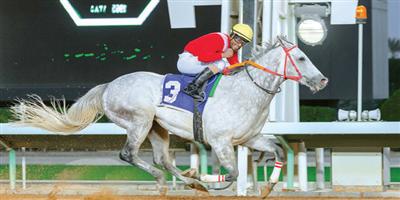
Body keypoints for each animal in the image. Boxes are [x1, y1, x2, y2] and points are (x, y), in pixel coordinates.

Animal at [10, 36, 328, 197]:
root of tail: (109, 86)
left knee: (162, 159)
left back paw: (188, 181)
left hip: (157, 128)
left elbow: (278, 149)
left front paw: (269, 184)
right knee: (129, 155)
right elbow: (234, 173)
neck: (246, 91)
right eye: (301, 58)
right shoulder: (221, 141)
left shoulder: (249, 138)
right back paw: (170, 181)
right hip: (138, 120)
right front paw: (206, 177)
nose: (322, 80)